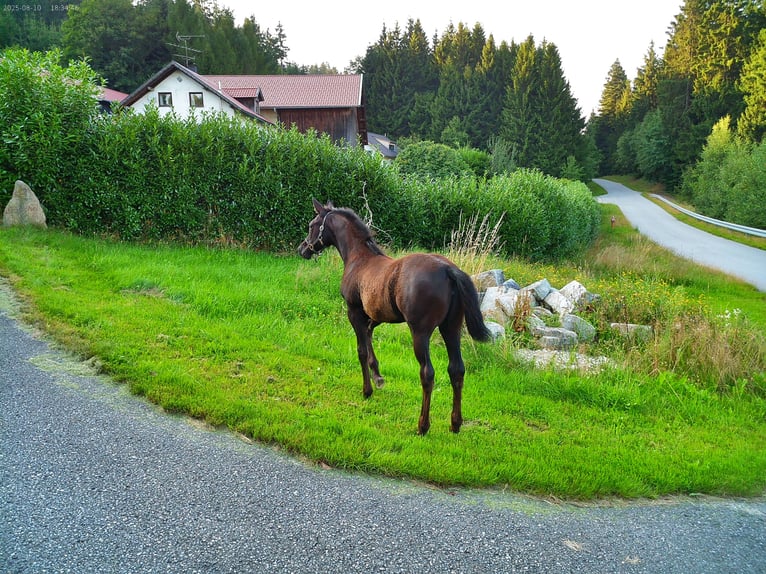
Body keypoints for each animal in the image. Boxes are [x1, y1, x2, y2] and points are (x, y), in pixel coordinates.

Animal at [298, 198, 491, 435]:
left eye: (312, 224)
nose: (302, 249)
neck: (359, 258)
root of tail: (448, 269)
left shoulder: (354, 311)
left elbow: (361, 350)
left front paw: (367, 390)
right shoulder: (374, 315)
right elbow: (369, 338)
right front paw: (378, 377)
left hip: (420, 332)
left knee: (427, 373)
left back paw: (422, 425)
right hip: (451, 328)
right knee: (457, 370)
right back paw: (455, 424)